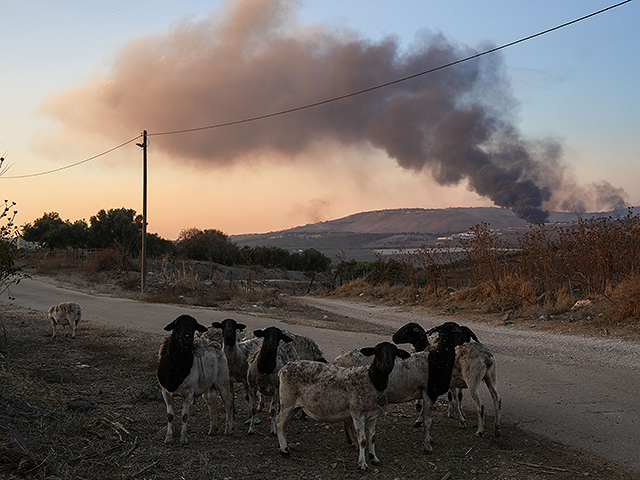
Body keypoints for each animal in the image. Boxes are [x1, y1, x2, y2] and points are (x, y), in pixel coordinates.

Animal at [156, 316, 234, 446]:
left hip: (222, 382)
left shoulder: (188, 393)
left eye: (194, 327)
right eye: (176, 325)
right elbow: (170, 416)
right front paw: (168, 438)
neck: (175, 368)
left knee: (228, 403)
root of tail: (217, 347)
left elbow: (185, 416)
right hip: (210, 386)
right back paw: (213, 430)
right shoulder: (165, 392)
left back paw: (228, 429)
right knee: (212, 402)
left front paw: (183, 439)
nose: (187, 339)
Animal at [276, 342, 410, 472]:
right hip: (287, 402)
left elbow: (372, 438)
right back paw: (284, 450)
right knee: (279, 424)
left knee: (284, 425)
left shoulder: (373, 416)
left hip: (295, 406)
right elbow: (363, 441)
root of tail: (283, 369)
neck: (372, 380)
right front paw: (363, 464)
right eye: (377, 351)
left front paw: (374, 458)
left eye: (394, 352)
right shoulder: (357, 414)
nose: (387, 364)